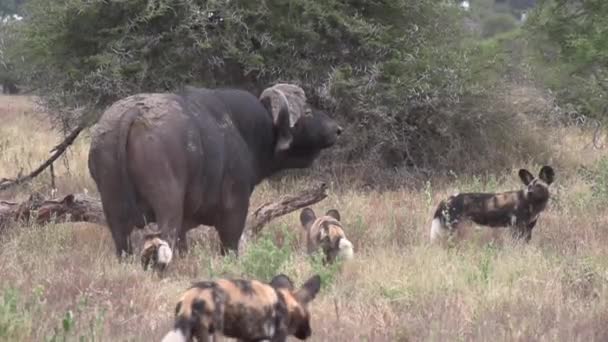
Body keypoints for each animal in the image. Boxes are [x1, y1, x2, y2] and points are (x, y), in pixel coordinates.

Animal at [86, 83, 342, 270]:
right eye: (307, 112)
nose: (337, 129)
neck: (245, 131)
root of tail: (133, 113)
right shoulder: (235, 211)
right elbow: (229, 246)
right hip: (167, 205)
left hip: (113, 210)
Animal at [162, 272, 324, 342]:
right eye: (308, 316)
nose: (310, 333)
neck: (284, 301)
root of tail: (193, 295)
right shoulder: (276, 338)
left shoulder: (248, 338)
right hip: (212, 335)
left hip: (188, 333)